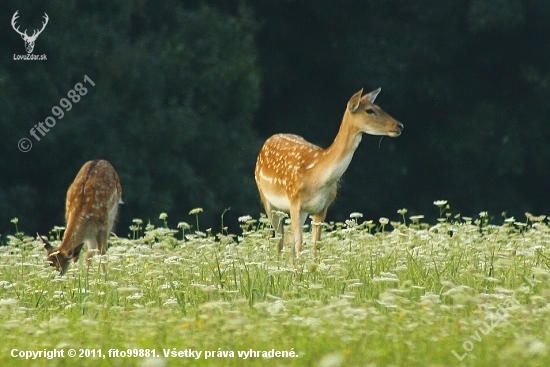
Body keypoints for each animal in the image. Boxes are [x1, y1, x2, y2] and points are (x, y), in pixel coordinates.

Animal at [256, 87, 406, 258]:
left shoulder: (322, 207)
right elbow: (300, 244)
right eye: (370, 110)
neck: (317, 178)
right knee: (280, 239)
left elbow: (316, 245)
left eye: (379, 107)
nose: (399, 125)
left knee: (289, 241)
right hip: (266, 198)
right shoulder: (294, 201)